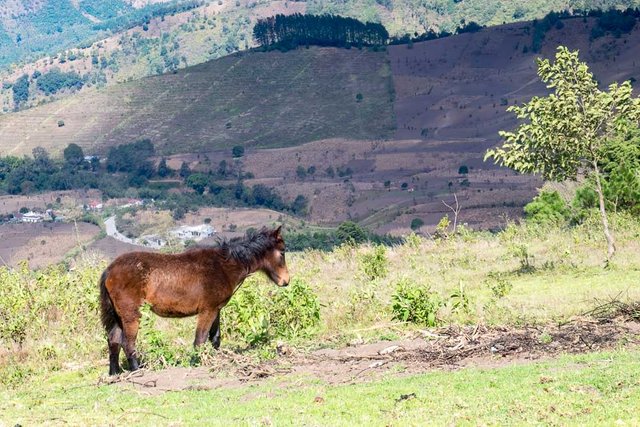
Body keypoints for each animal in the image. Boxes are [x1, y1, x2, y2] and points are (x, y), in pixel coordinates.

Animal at [99, 226, 288, 376]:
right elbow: (200, 340)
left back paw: (114, 373)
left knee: (113, 340)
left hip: (118, 316)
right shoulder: (208, 310)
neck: (223, 265)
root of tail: (109, 270)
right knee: (128, 343)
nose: (286, 281)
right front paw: (196, 364)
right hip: (131, 315)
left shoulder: (216, 309)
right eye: (283, 251)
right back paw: (137, 371)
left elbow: (215, 339)